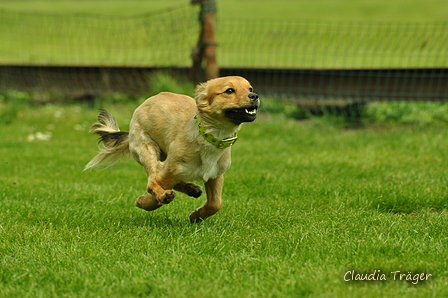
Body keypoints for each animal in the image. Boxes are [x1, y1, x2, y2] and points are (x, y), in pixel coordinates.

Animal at [84, 75, 260, 222]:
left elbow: (215, 204)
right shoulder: (167, 171)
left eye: (250, 89)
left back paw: (191, 188)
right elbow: (152, 187)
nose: (255, 96)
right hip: (147, 149)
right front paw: (145, 202)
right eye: (229, 90)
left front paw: (197, 216)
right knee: (153, 176)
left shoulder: (214, 175)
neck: (208, 136)